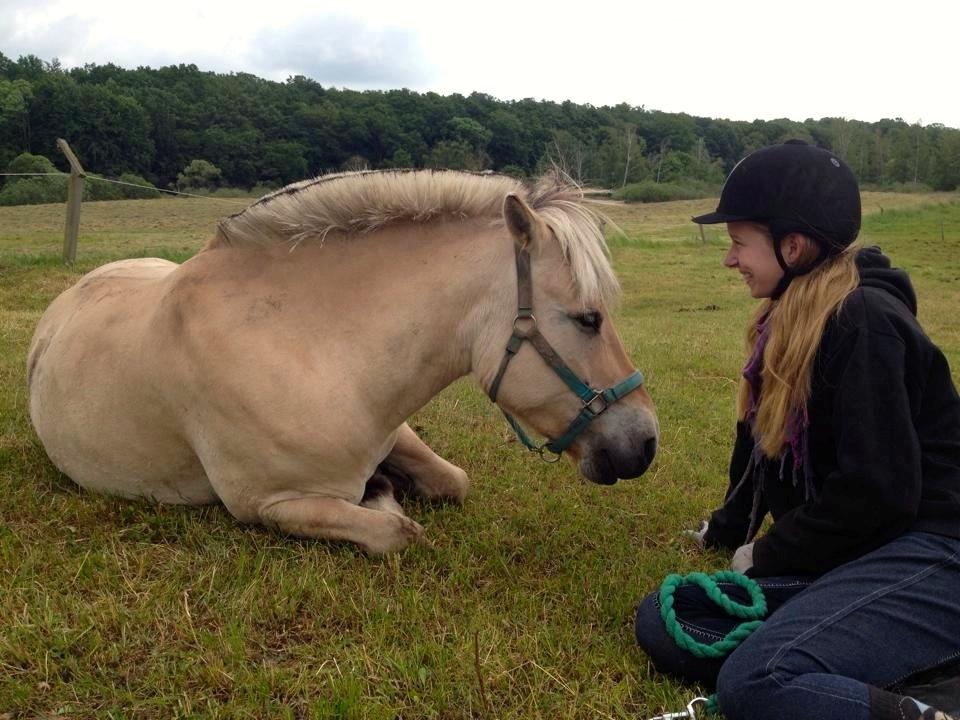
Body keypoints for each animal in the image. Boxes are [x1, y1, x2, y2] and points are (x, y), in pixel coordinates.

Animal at [30, 169, 660, 552]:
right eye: (589, 318)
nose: (646, 443)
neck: (310, 348)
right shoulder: (267, 504)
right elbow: (399, 531)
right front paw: (385, 495)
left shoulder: (395, 429)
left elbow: (454, 481)